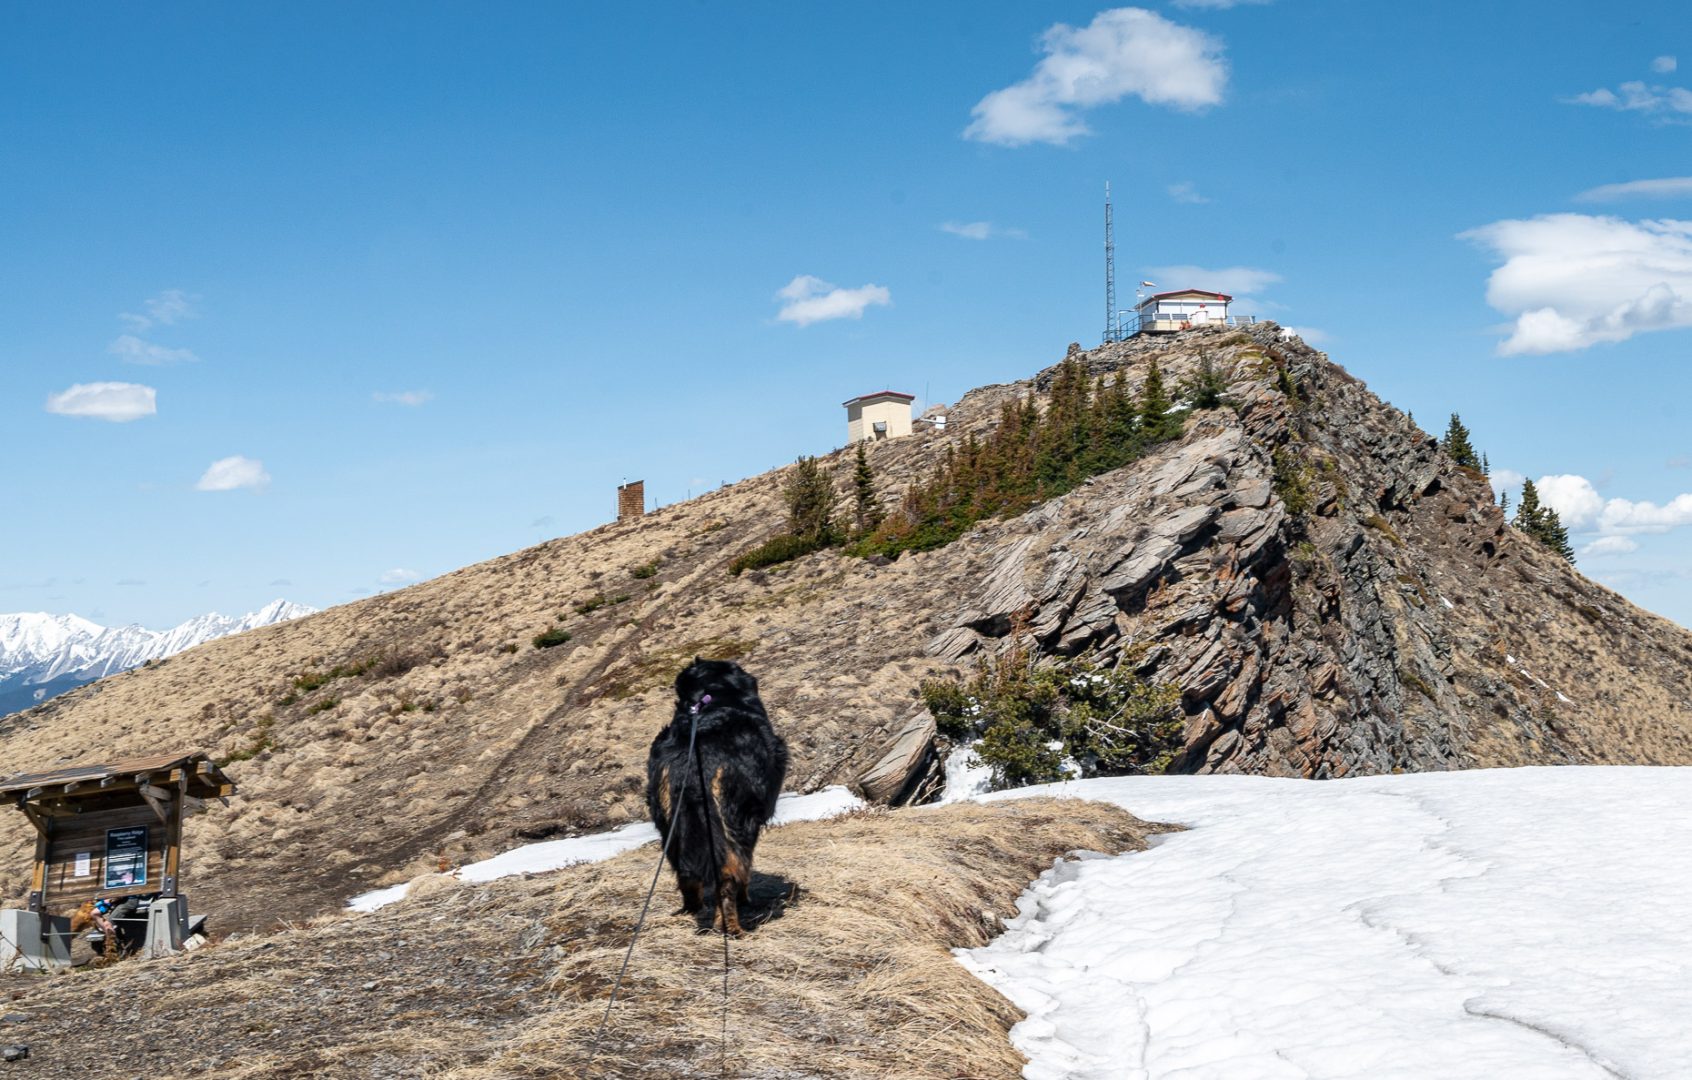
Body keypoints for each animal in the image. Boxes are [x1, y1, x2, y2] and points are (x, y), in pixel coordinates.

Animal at [642, 660, 788, 941]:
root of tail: (691, 765)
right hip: (732, 821)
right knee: (729, 875)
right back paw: (733, 928)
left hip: (669, 822)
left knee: (684, 873)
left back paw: (693, 909)